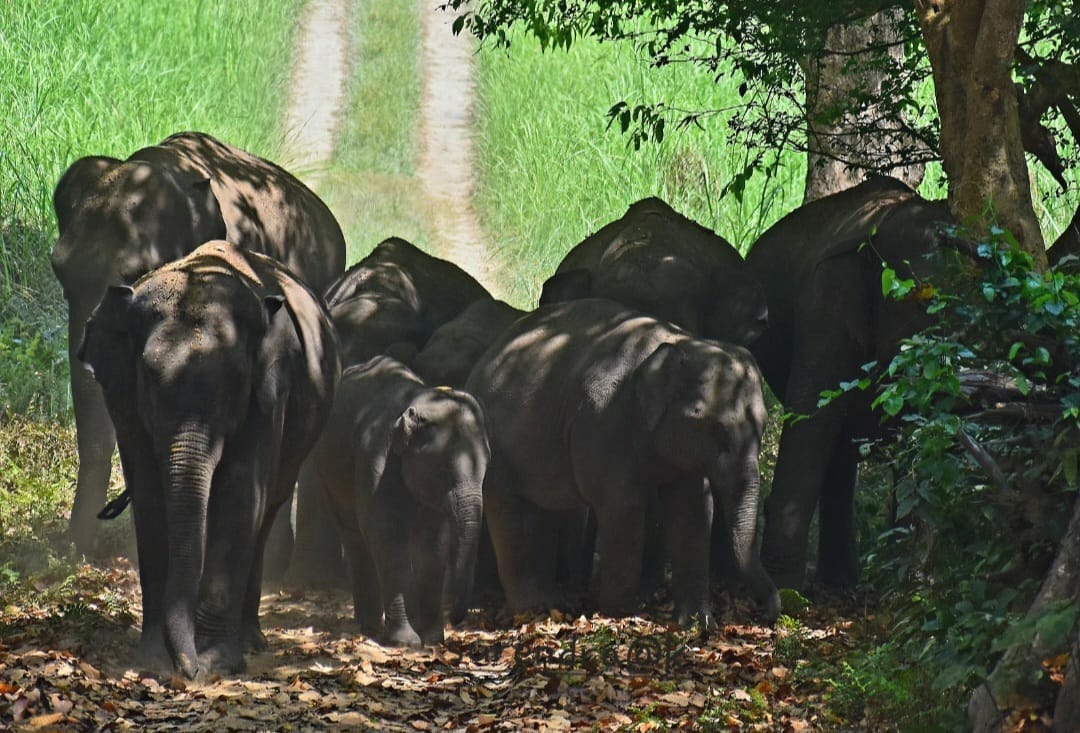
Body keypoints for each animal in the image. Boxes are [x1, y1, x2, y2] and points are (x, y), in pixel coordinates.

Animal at [77, 241, 340, 679]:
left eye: (235, 382)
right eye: (148, 376)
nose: (190, 670)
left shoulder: (270, 393)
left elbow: (240, 491)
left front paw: (216, 661)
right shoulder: (124, 400)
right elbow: (149, 494)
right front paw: (154, 659)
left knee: (267, 511)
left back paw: (250, 641)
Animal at [307, 355, 489, 646]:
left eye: (486, 467)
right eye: (442, 469)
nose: (455, 617)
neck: (419, 399)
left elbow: (433, 544)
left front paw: (433, 639)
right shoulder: (375, 460)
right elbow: (386, 536)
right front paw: (405, 641)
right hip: (326, 469)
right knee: (354, 534)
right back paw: (369, 626)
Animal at [466, 297, 780, 625]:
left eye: (763, 424)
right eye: (709, 425)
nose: (768, 614)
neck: (678, 342)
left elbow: (693, 509)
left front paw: (695, 621)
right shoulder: (601, 419)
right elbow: (623, 506)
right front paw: (620, 614)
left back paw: (551, 602)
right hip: (497, 450)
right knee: (513, 510)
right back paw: (534, 608)